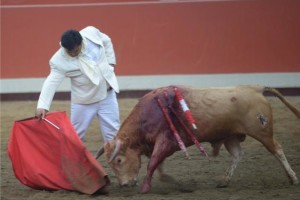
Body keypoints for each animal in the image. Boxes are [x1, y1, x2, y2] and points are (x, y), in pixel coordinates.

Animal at [96, 85, 300, 193]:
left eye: (119, 160)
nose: (124, 184)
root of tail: (255, 88)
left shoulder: (165, 141)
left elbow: (153, 163)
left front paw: (145, 187)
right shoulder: (158, 144)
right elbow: (158, 163)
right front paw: (167, 179)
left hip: (262, 132)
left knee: (277, 150)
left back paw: (293, 178)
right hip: (231, 136)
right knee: (236, 155)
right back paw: (224, 180)